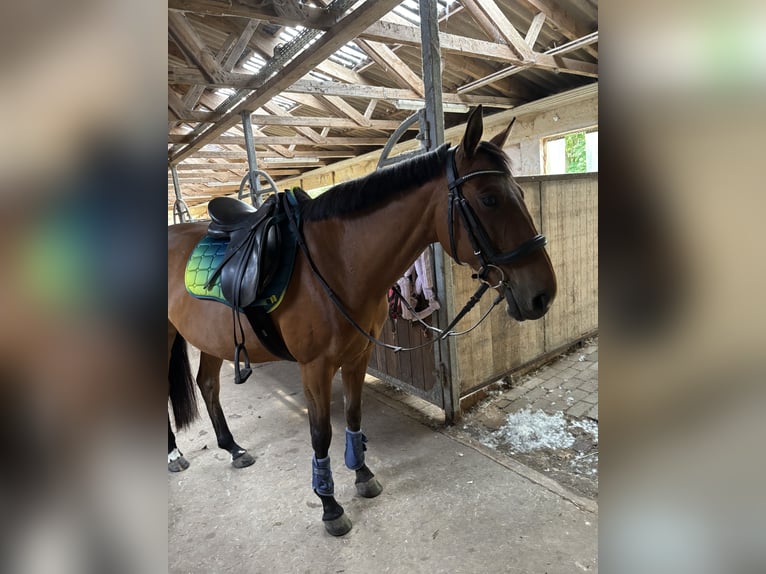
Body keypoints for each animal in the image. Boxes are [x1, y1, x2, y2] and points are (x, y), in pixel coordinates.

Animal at [167, 106, 557, 536]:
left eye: (520, 194)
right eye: (489, 199)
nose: (543, 294)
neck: (336, 264)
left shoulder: (357, 356)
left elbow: (354, 415)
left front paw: (363, 475)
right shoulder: (315, 368)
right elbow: (321, 433)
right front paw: (329, 504)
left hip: (209, 339)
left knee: (208, 386)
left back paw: (234, 448)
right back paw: (174, 455)